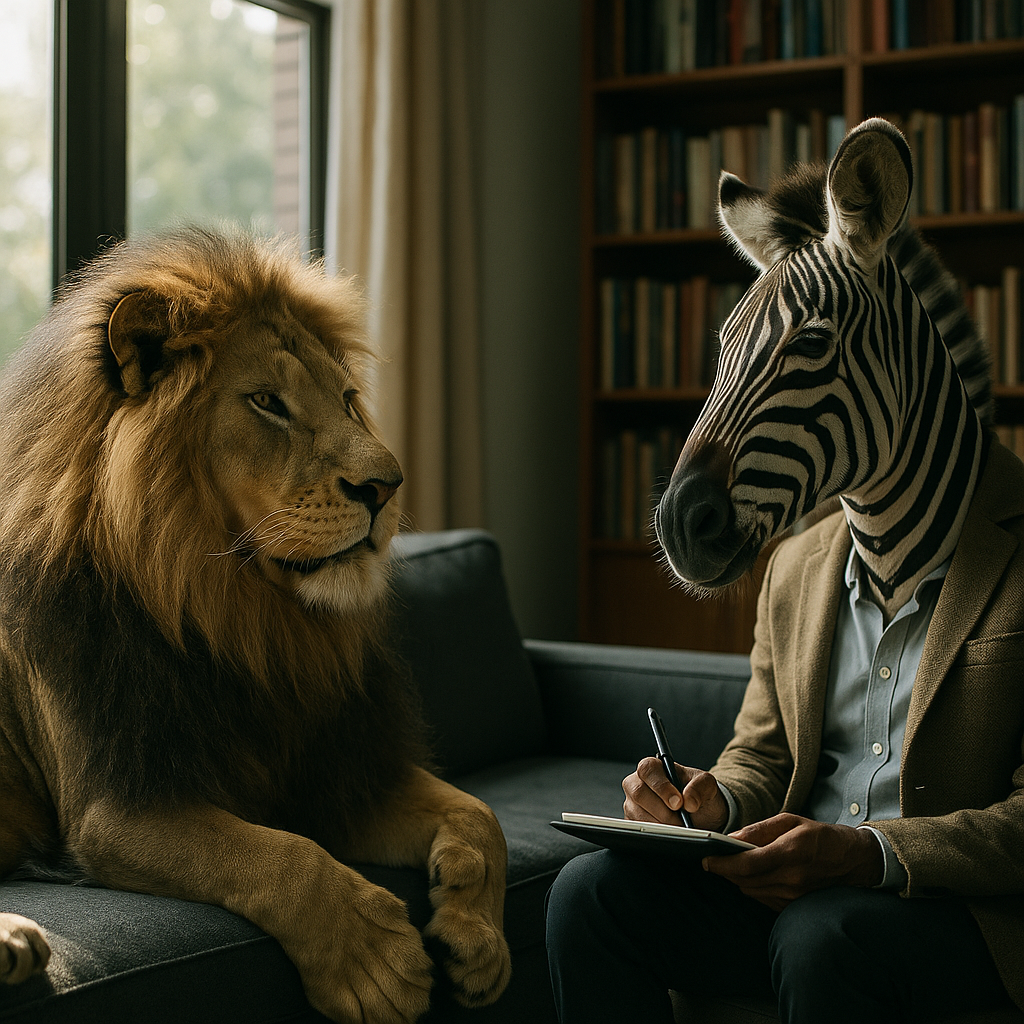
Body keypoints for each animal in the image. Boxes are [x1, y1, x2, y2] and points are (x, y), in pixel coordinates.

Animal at [0, 228, 511, 1022]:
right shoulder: (117, 810)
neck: (243, 618)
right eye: (268, 402)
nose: (387, 486)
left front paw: (479, 942)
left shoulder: (338, 773)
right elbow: (278, 857)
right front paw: (374, 963)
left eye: (348, 400)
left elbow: (480, 814)